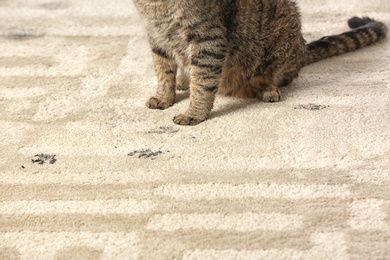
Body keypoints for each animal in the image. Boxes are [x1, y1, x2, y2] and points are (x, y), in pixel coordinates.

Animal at [133, 0, 386, 126]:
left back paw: (267, 89)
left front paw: (194, 113)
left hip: (284, 31)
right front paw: (165, 97)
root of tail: (302, 49)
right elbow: (163, 73)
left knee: (280, 76)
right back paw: (184, 79)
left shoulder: (208, 39)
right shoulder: (156, 37)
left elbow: (203, 84)